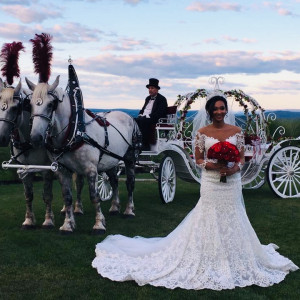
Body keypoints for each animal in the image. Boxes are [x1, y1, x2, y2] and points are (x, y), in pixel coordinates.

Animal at [26, 75, 141, 234]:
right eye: (30, 105)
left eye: (51, 105)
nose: (35, 138)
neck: (74, 131)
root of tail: (128, 116)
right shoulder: (62, 170)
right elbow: (67, 197)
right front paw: (68, 224)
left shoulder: (91, 169)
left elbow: (94, 196)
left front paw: (99, 224)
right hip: (111, 160)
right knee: (114, 181)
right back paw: (114, 207)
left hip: (129, 158)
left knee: (130, 183)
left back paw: (129, 210)